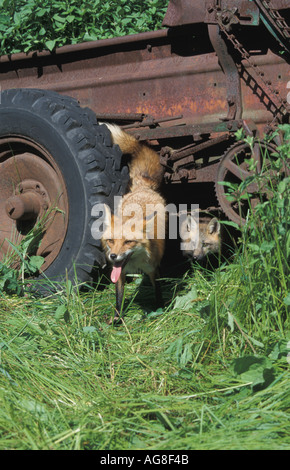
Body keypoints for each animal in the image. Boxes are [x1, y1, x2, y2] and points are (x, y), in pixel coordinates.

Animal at [101, 125, 165, 322]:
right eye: (111, 241)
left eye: (128, 242)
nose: (113, 256)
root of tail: (143, 187)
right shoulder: (119, 273)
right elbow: (119, 297)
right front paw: (117, 318)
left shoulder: (153, 269)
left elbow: (158, 290)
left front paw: (159, 309)